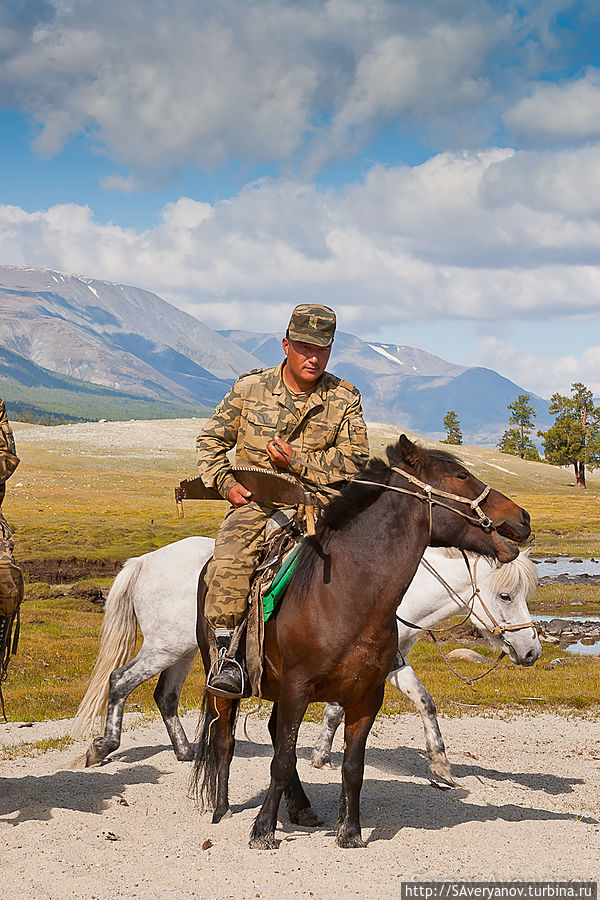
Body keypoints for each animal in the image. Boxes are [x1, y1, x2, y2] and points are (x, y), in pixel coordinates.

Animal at [72, 540, 540, 780]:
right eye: (505, 595)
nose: (532, 651)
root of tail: (144, 561)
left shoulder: (385, 664)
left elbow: (418, 700)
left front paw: (439, 763)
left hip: (184, 650)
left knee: (165, 696)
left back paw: (186, 752)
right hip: (164, 647)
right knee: (120, 680)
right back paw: (103, 747)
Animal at [192, 436, 528, 852]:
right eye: (462, 475)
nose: (523, 517)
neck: (348, 594)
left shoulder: (366, 697)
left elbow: (352, 766)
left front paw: (350, 831)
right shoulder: (298, 687)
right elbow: (282, 760)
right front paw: (263, 830)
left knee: (271, 733)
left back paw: (302, 808)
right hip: (225, 682)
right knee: (225, 738)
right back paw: (221, 808)